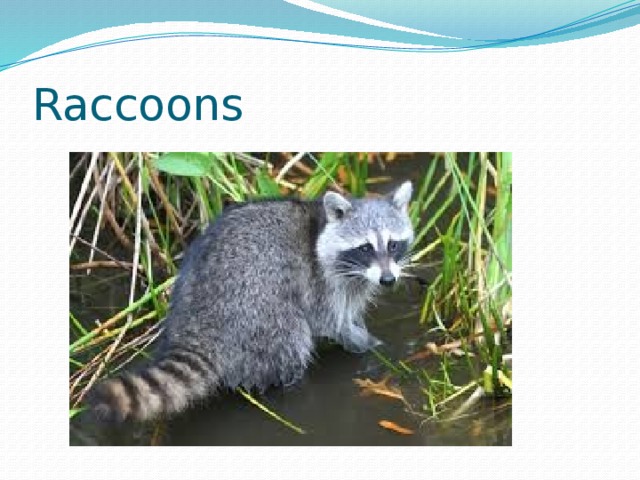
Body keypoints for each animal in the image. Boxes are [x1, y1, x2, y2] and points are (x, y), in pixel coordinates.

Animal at [89, 181, 414, 422]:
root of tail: (196, 325)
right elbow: (330, 321)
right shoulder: (321, 281)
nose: (388, 280)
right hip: (257, 310)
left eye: (393, 244)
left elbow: (351, 312)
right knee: (290, 342)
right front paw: (369, 345)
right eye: (365, 248)